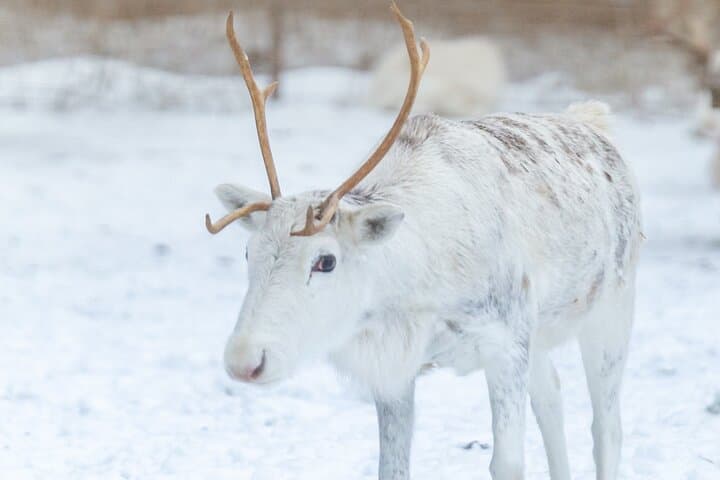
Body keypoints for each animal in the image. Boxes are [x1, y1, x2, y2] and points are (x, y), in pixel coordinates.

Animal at [206, 3, 642, 480]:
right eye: (248, 252)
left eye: (325, 261)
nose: (245, 360)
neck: (417, 288)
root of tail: (592, 119)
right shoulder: (397, 370)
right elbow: (392, 466)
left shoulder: (505, 341)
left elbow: (507, 462)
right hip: (541, 331)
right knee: (552, 398)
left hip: (611, 310)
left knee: (607, 427)